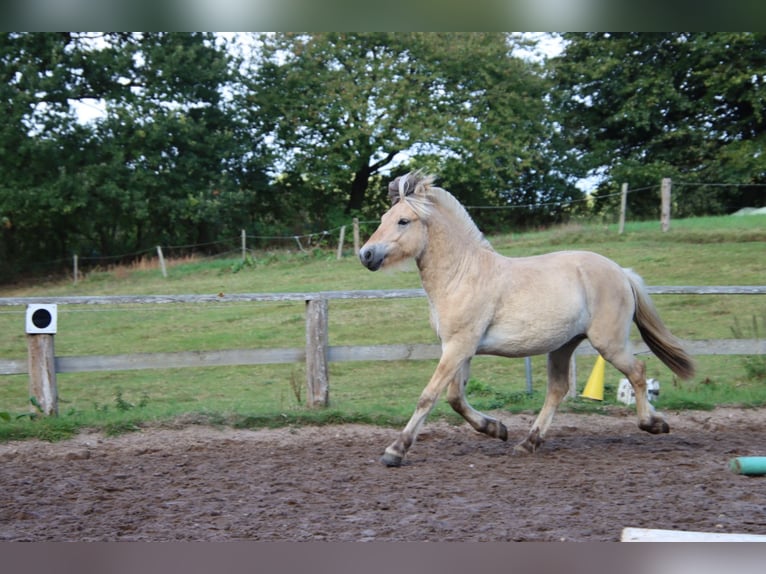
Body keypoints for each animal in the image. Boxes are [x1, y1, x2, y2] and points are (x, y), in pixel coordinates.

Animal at [360, 171, 696, 468]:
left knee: (637, 372)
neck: (462, 274)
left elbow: (428, 396)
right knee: (558, 390)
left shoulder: (459, 346)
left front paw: (395, 451)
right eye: (383, 219)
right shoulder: (460, 348)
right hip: (563, 345)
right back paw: (529, 442)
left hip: (608, 343)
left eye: (403, 220)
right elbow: (455, 398)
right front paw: (497, 429)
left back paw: (653, 423)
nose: (366, 255)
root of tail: (622, 273)